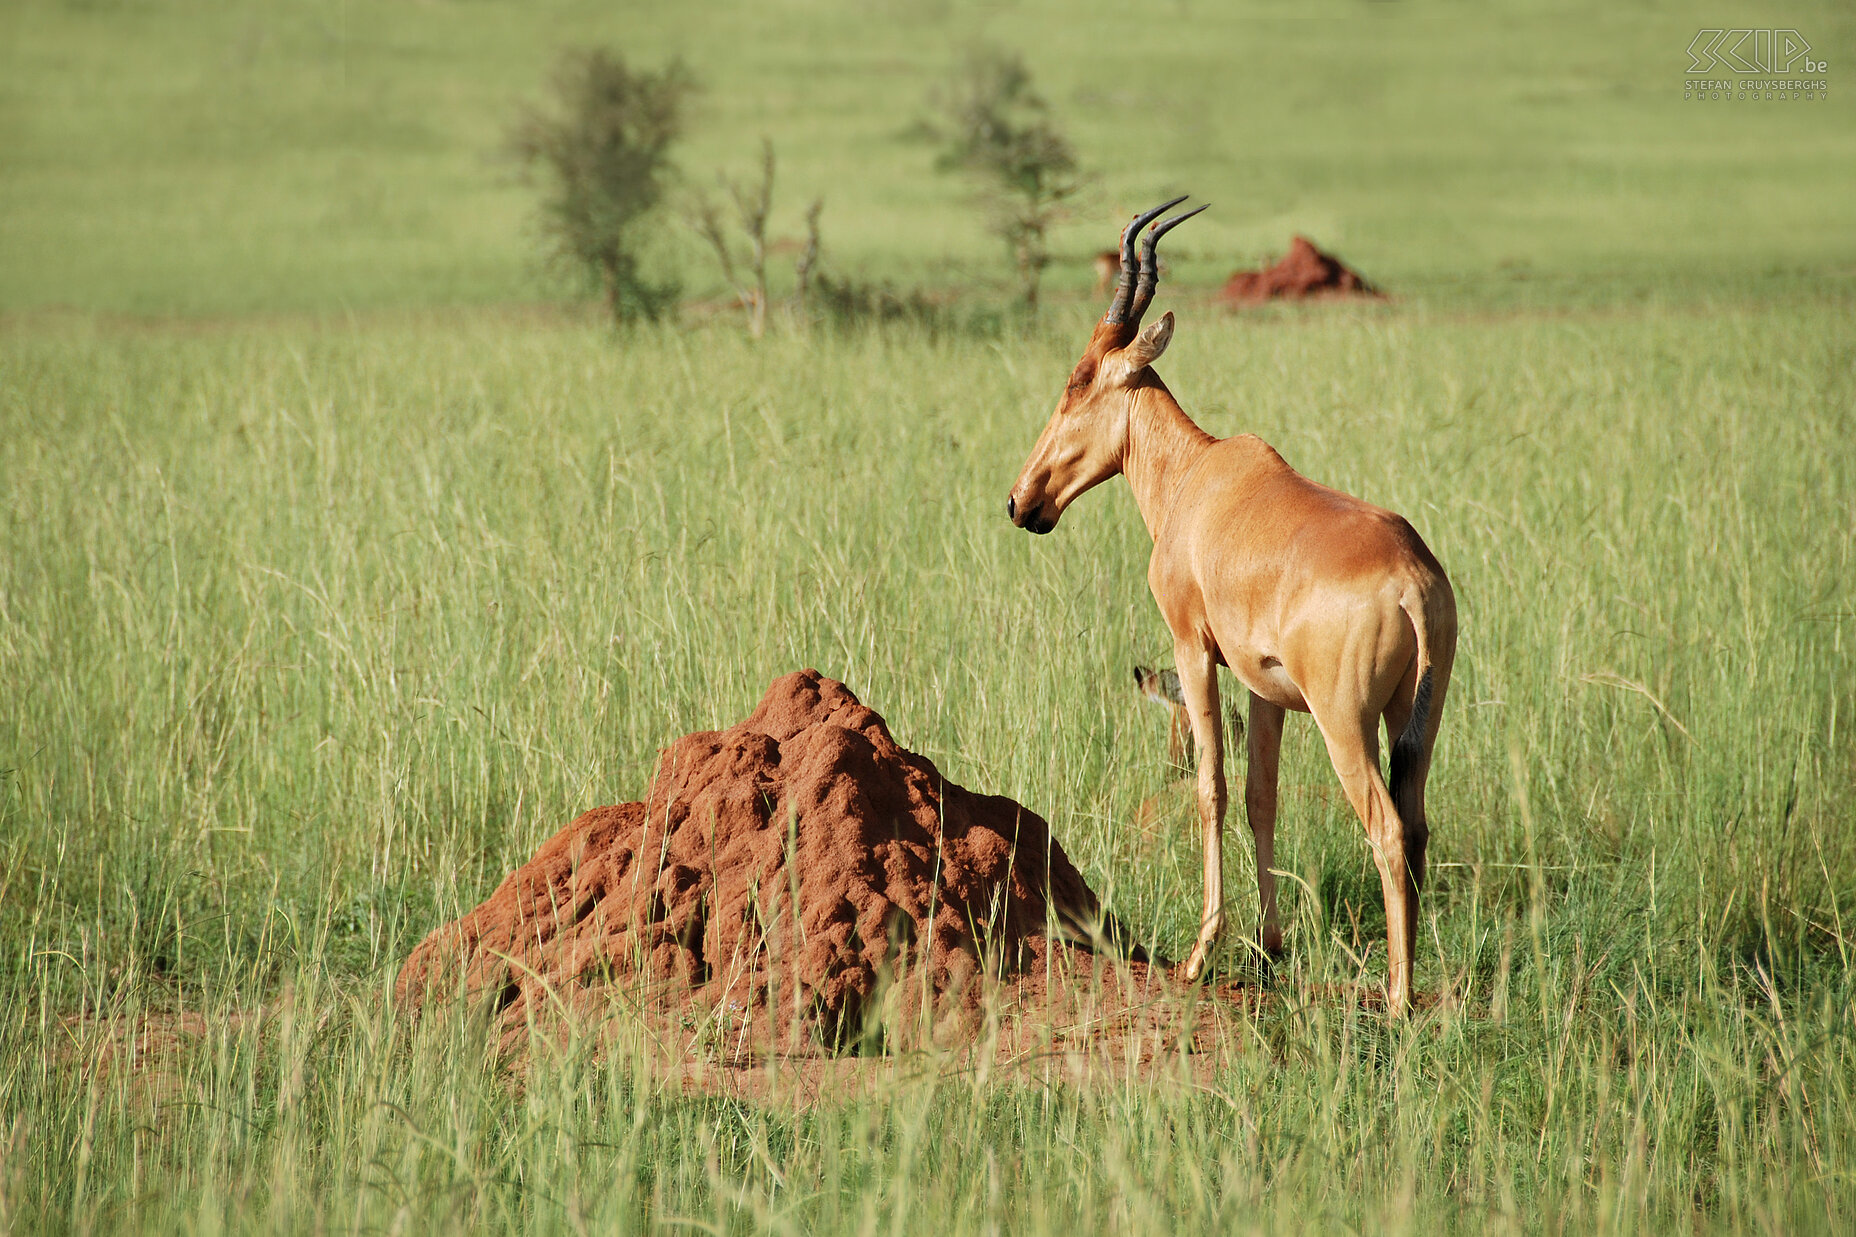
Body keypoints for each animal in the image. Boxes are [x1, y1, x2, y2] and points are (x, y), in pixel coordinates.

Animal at [1009, 195, 1455, 1010]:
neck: (1199, 474)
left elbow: (1211, 787)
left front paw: (1199, 954)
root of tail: (1411, 578)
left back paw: (1399, 998)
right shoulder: (1265, 687)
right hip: (1417, 715)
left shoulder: (1193, 649)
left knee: (1385, 828)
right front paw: (1269, 950)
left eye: (1078, 380)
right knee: (1417, 822)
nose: (1022, 501)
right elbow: (1259, 796)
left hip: (1345, 723)